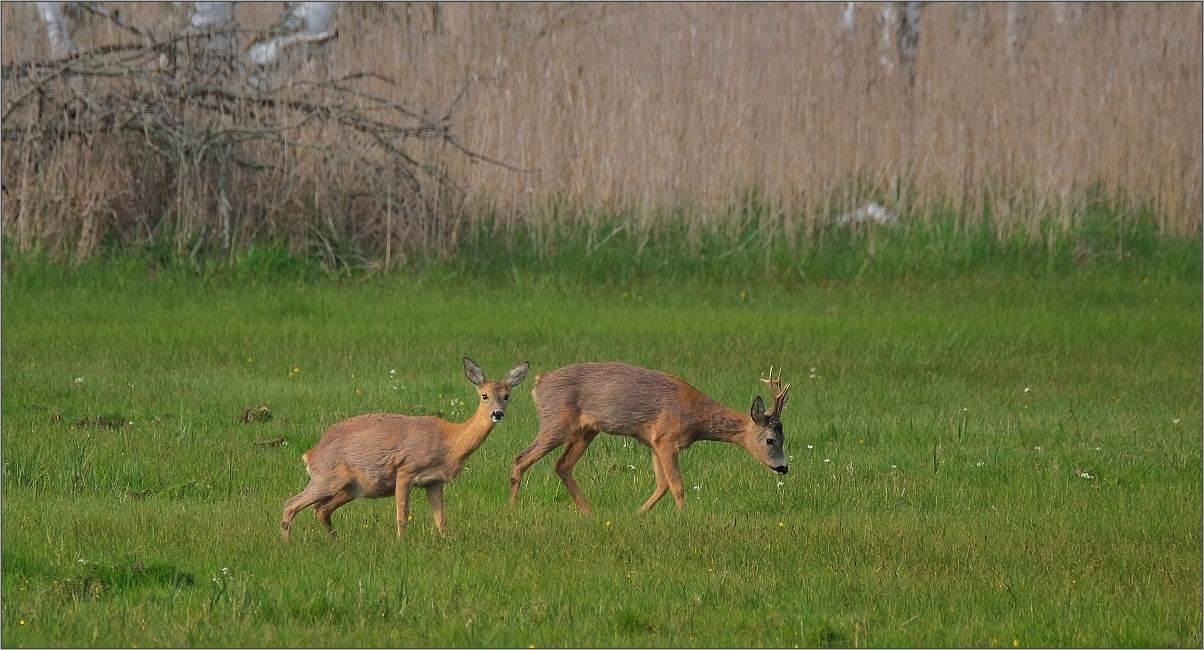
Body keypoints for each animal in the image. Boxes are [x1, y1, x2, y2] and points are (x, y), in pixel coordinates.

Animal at [281, 358, 532, 541]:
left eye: (507, 396)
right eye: (484, 395)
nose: (497, 413)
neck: (449, 442)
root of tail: (311, 453)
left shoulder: (434, 481)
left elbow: (442, 520)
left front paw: (447, 543)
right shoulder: (405, 471)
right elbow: (402, 516)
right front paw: (402, 543)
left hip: (352, 487)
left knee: (321, 509)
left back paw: (336, 541)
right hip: (327, 477)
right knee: (291, 504)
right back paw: (287, 544)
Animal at [508, 361, 789, 512]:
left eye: (785, 438)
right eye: (770, 440)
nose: (784, 467)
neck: (697, 417)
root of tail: (539, 382)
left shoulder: (653, 442)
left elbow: (662, 484)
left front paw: (637, 513)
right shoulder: (667, 439)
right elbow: (677, 484)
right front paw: (684, 517)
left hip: (586, 430)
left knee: (562, 465)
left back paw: (589, 512)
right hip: (556, 421)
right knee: (521, 458)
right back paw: (512, 509)